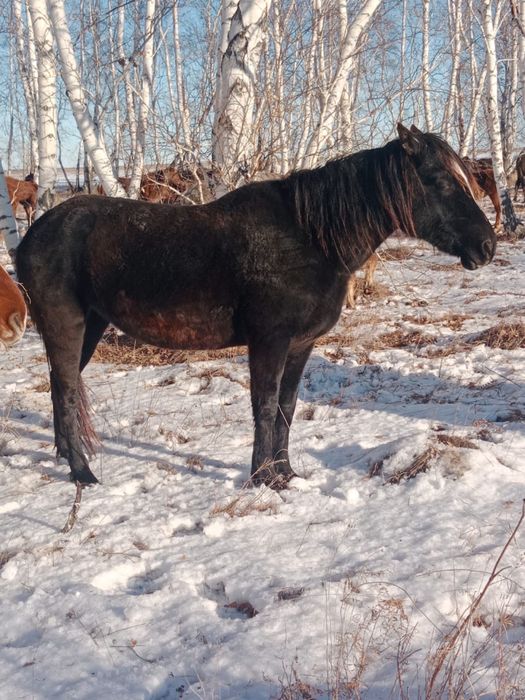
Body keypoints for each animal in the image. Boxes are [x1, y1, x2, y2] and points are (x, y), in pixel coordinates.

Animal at [16, 124, 496, 489]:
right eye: (439, 181)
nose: (487, 246)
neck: (311, 238)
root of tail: (34, 234)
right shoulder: (269, 342)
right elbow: (264, 407)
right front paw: (262, 478)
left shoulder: (300, 345)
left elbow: (286, 408)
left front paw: (286, 474)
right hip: (66, 325)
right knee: (65, 388)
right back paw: (83, 473)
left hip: (91, 326)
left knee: (63, 386)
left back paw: (67, 461)